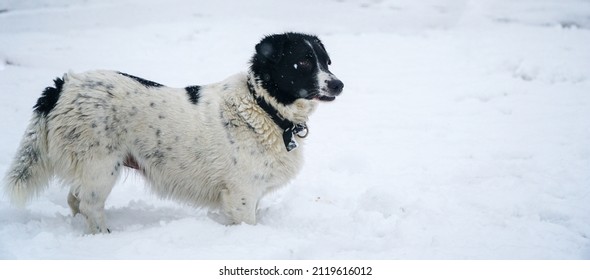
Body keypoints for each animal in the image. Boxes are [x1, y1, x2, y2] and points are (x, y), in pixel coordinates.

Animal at [2, 31, 344, 233]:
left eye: (326, 61)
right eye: (303, 62)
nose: (339, 84)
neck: (262, 106)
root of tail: (63, 85)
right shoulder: (242, 193)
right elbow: (247, 223)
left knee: (75, 200)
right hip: (101, 167)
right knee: (89, 205)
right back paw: (103, 236)